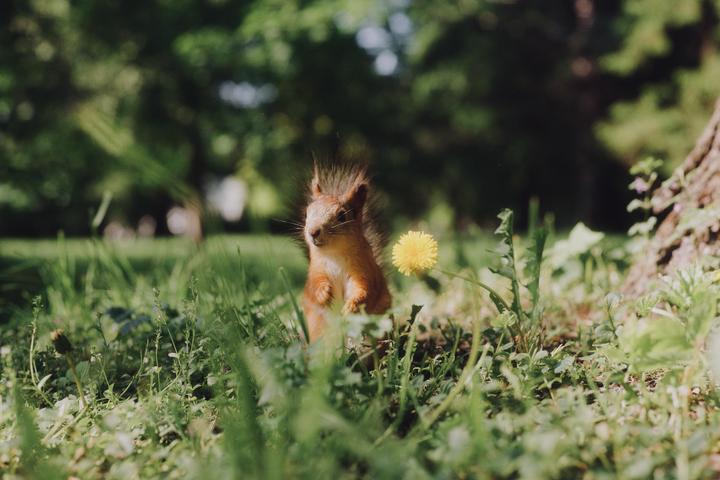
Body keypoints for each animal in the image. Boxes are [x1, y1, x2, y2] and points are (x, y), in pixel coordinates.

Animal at [301, 162, 392, 342]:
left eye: (342, 215)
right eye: (307, 213)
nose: (313, 231)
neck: (334, 254)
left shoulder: (364, 271)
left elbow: (364, 291)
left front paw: (352, 306)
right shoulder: (316, 270)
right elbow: (314, 285)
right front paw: (323, 293)